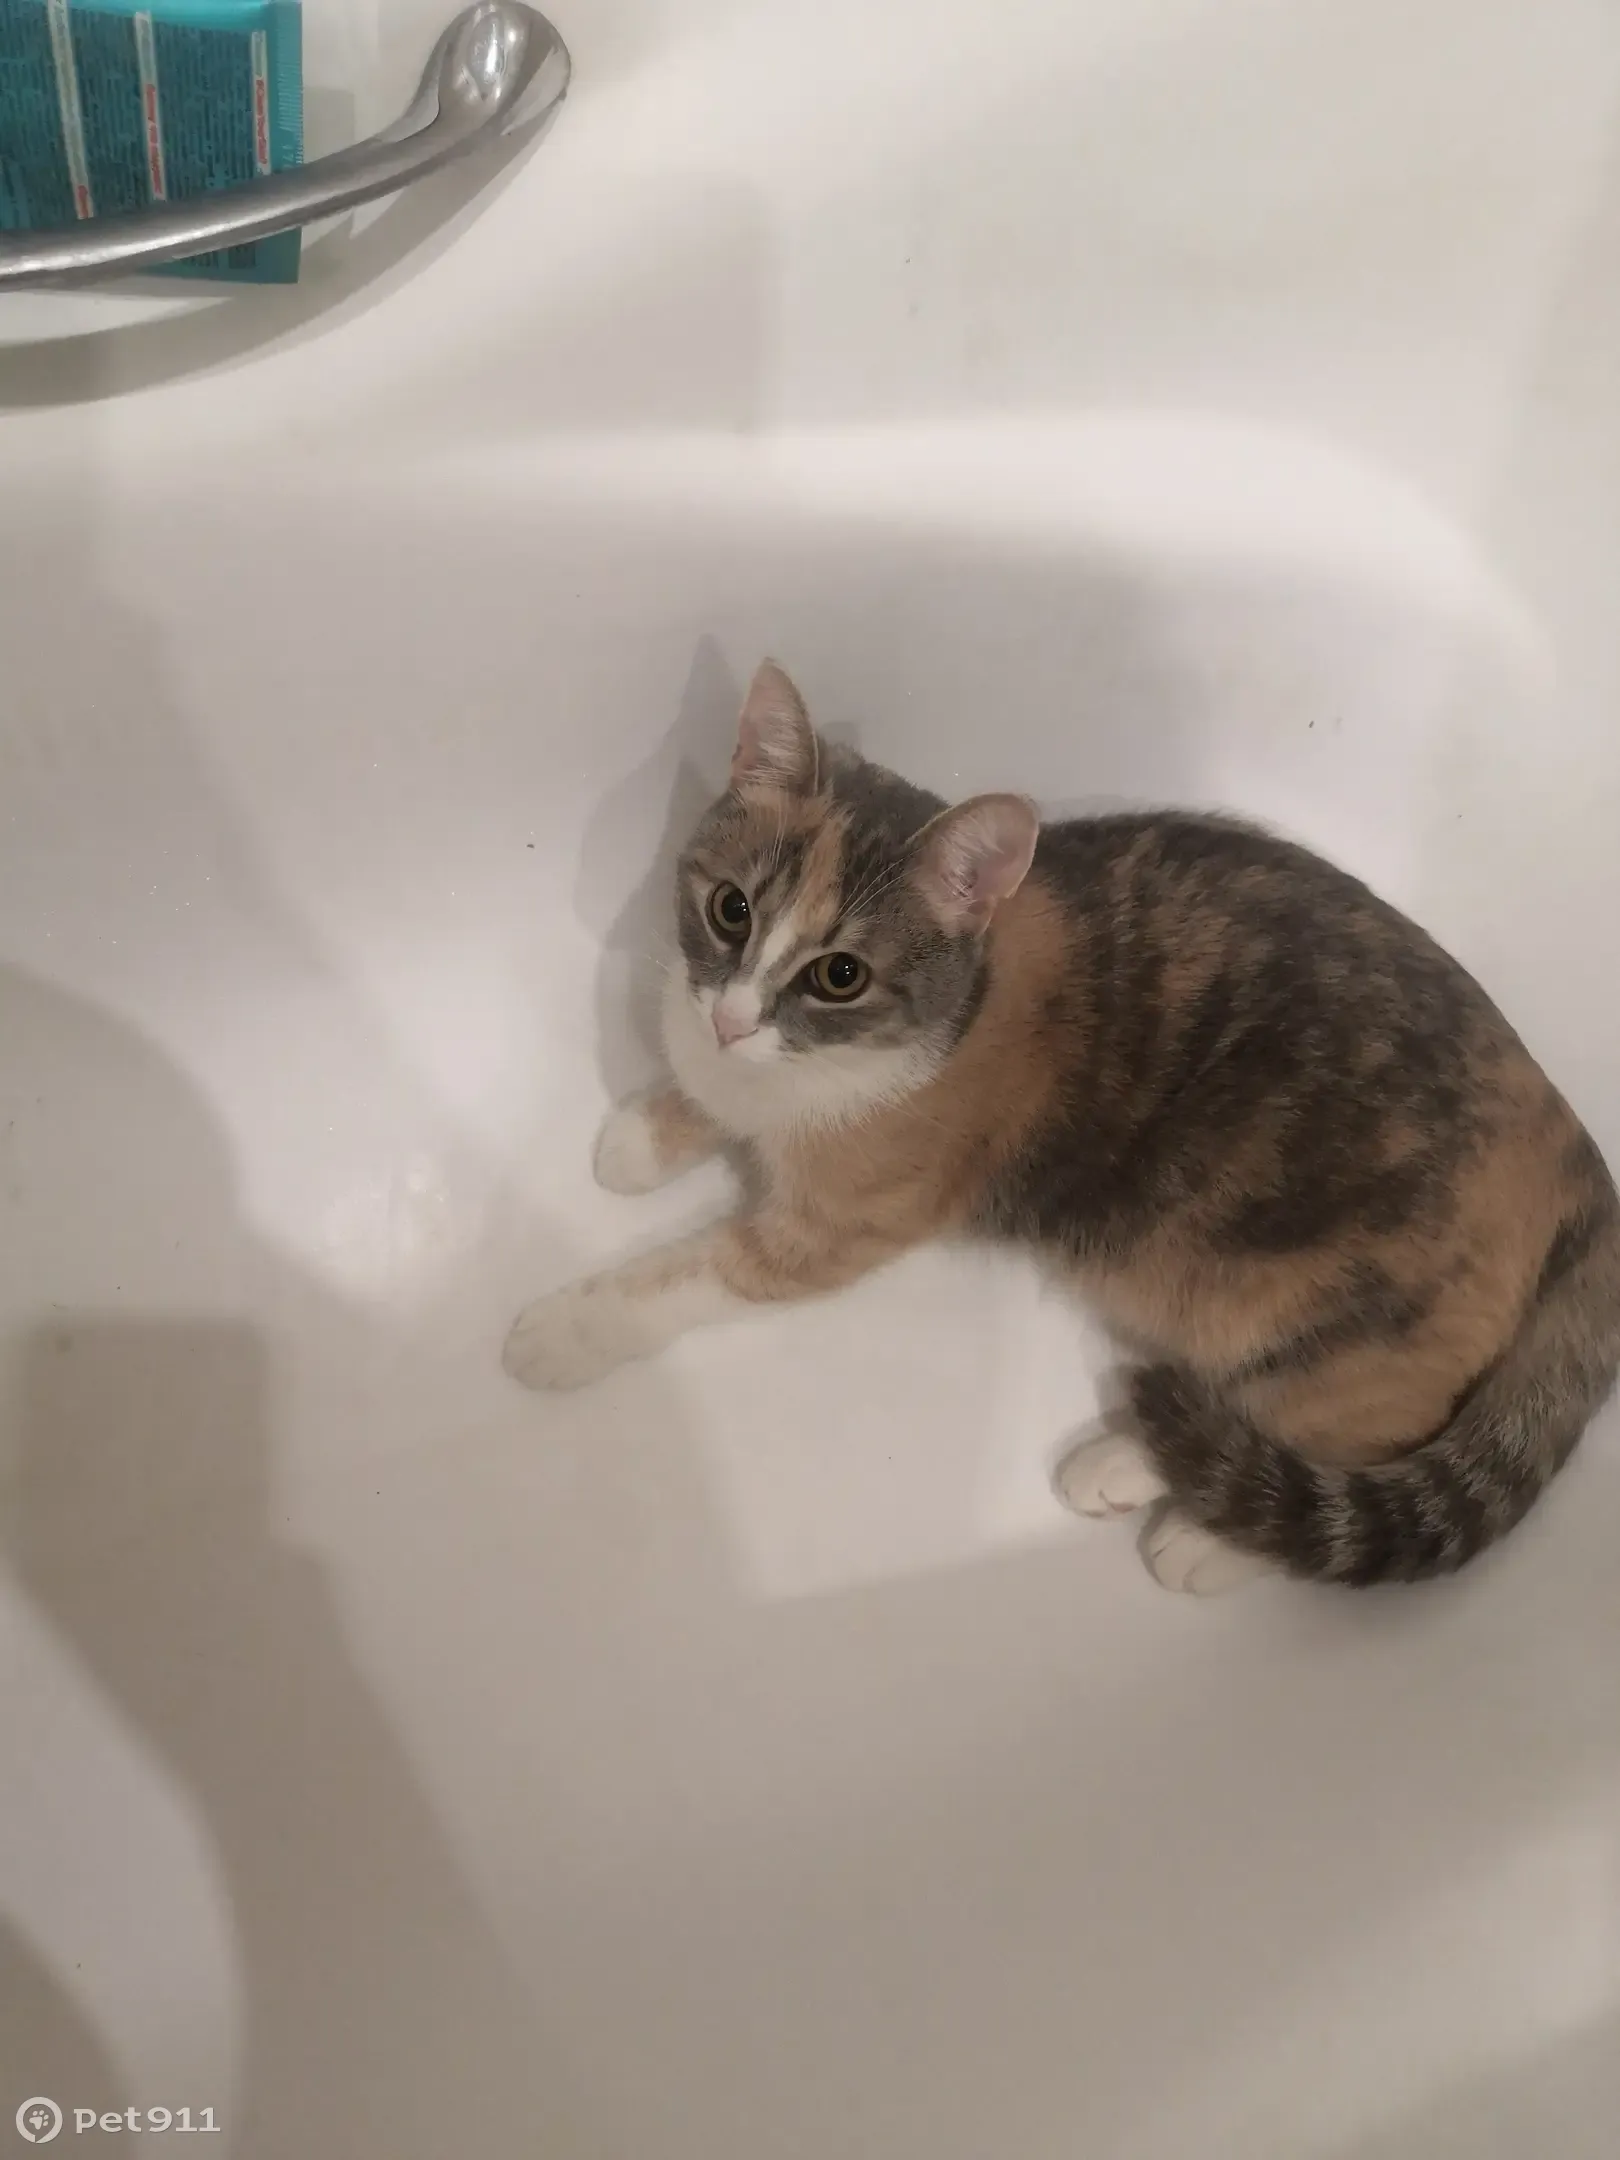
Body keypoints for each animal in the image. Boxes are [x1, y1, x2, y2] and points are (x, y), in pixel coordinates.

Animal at [504, 661, 1620, 1594]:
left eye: (840, 974)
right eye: (731, 910)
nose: (735, 1019)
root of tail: (1579, 1153)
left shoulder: (829, 1235)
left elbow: (676, 1278)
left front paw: (564, 1331)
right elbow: (697, 1093)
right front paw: (644, 1134)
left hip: (1317, 1313)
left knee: (1354, 1424)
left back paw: (1180, 1515)